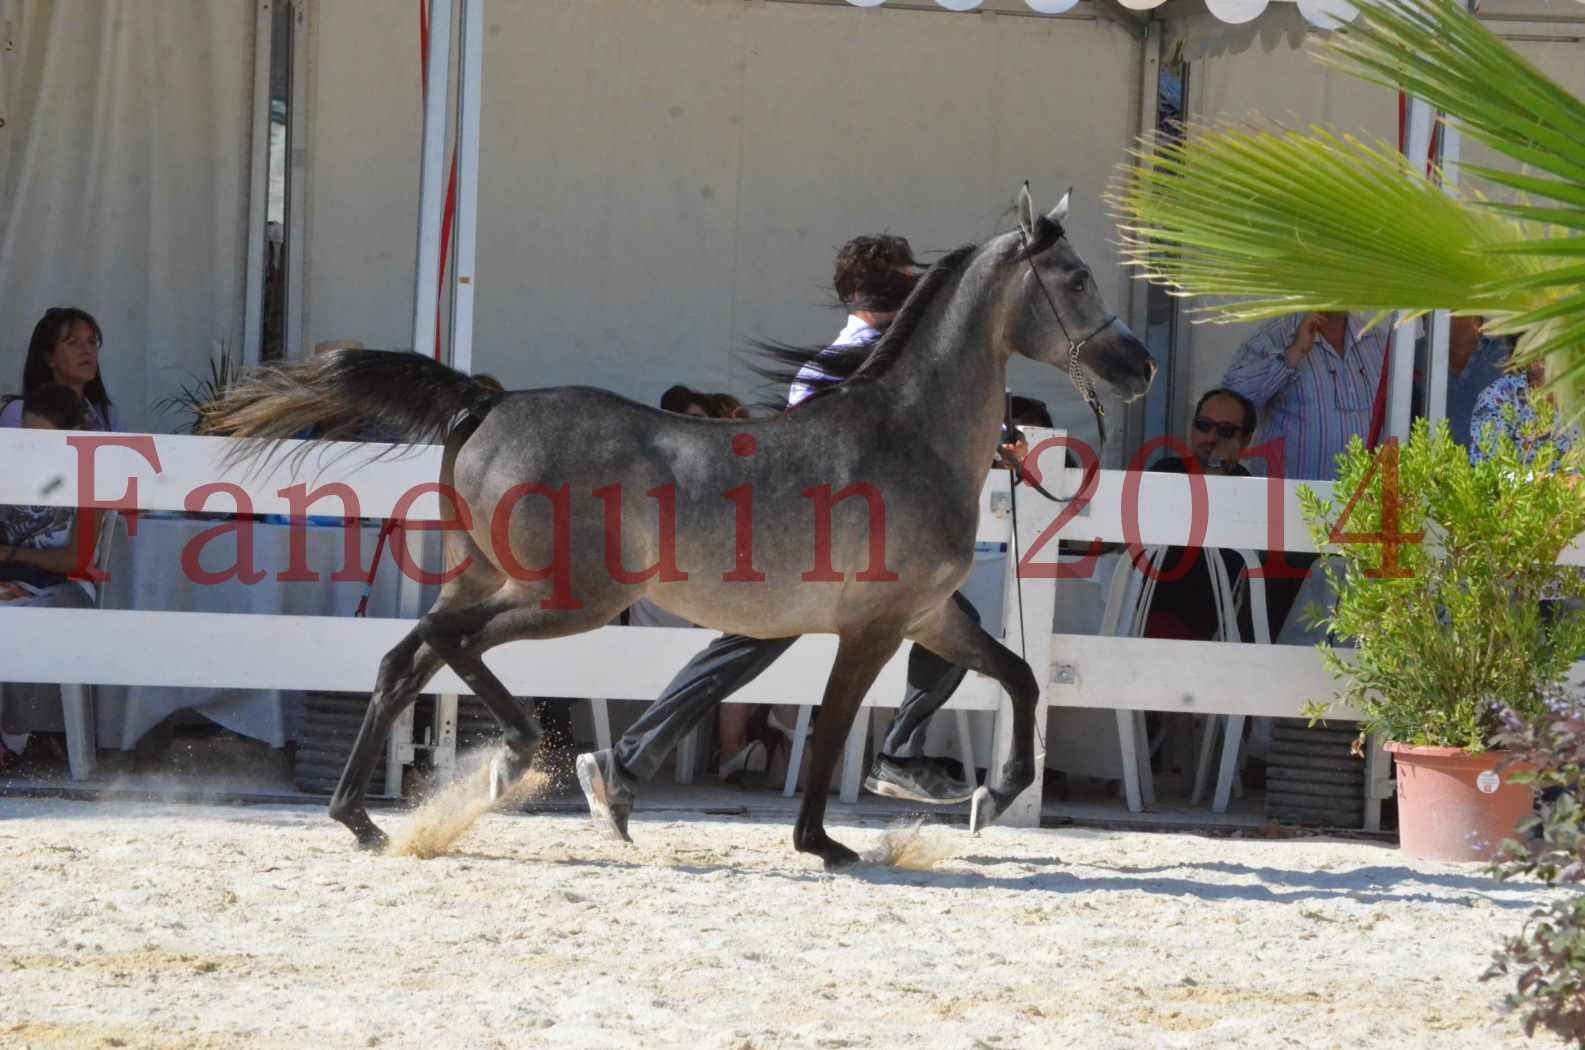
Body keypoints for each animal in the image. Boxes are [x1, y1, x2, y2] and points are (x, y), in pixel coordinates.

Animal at [207, 187, 1153, 869]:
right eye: (1074, 279)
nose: (1138, 364)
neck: (906, 434)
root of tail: (488, 403)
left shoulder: (930, 616)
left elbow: (1019, 676)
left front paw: (992, 795)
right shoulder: (873, 627)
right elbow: (835, 727)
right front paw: (823, 843)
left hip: (487, 577)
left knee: (404, 658)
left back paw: (364, 820)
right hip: (566, 598)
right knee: (449, 644)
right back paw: (514, 756)